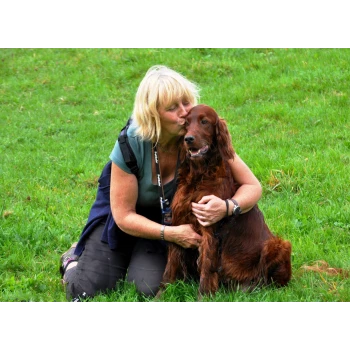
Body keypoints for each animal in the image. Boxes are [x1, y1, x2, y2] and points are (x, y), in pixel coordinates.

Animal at [160, 103, 292, 296]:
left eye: (204, 122)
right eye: (186, 123)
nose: (188, 138)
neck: (199, 176)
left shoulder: (210, 230)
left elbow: (207, 269)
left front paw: (203, 297)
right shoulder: (179, 223)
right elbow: (170, 267)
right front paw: (160, 295)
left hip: (278, 245)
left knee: (269, 281)